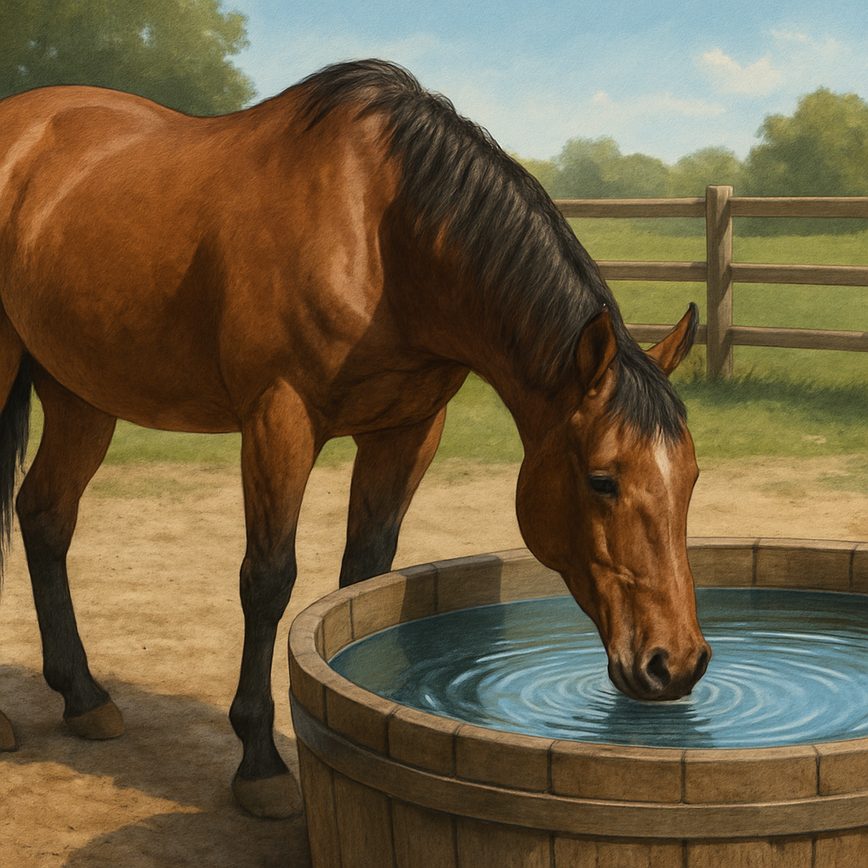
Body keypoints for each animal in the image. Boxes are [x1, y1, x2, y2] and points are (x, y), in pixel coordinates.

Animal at [0, 59, 710, 817]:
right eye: (602, 480)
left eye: (691, 479)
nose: (676, 663)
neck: (379, 232)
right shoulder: (279, 420)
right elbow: (268, 580)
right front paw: (260, 764)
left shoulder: (407, 431)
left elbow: (365, 577)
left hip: (79, 395)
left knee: (45, 516)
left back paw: (83, 698)